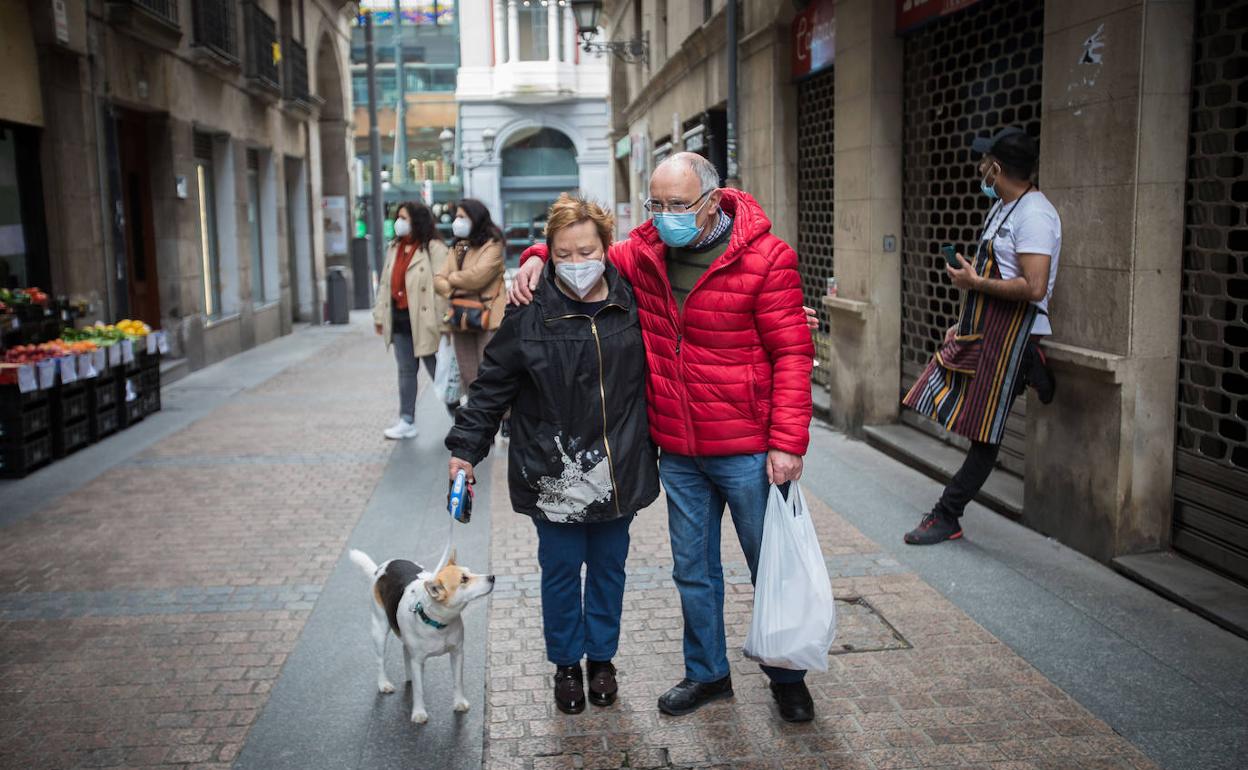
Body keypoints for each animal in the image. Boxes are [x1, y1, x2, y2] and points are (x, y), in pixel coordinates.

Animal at [349, 549, 494, 723]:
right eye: (464, 579)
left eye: (470, 572)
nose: (492, 577)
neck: (438, 623)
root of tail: (382, 567)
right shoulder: (418, 661)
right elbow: (418, 690)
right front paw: (418, 713)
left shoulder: (457, 652)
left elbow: (458, 681)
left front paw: (459, 703)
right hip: (379, 628)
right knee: (380, 661)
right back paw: (384, 683)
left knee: (405, 650)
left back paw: (409, 675)